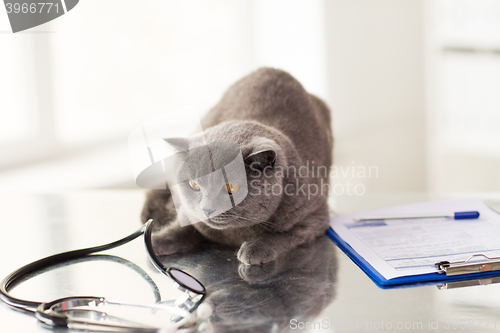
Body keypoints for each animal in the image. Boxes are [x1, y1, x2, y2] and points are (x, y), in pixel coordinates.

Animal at [141, 67, 334, 264]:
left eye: (231, 187)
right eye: (194, 185)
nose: (206, 209)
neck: (233, 234)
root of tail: (271, 69)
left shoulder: (316, 217)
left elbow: (284, 234)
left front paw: (255, 248)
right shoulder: (192, 213)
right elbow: (187, 224)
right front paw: (158, 240)